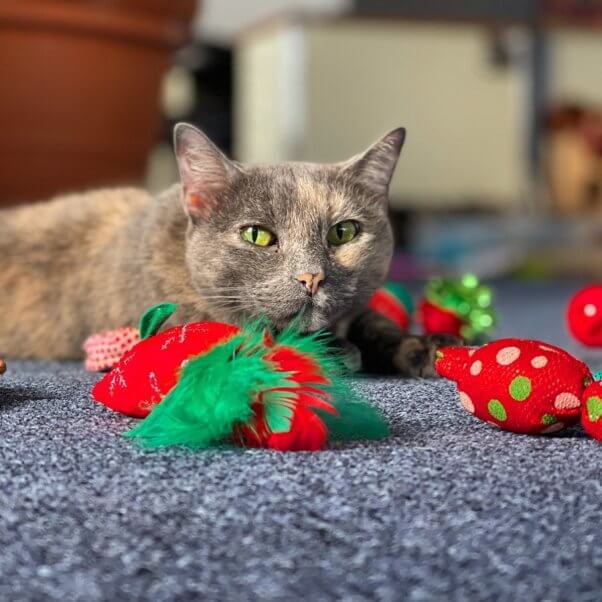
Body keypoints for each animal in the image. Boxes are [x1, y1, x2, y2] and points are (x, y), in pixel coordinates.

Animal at [0, 122, 450, 376]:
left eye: (343, 233)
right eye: (257, 236)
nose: (311, 276)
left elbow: (371, 320)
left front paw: (423, 346)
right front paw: (342, 352)